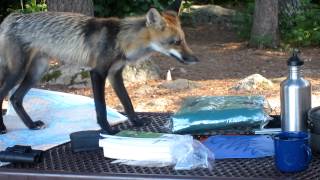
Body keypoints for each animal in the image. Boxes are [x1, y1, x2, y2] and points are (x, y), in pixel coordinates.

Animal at [0, 4, 198, 134]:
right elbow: (101, 107)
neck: (121, 40)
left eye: (185, 40)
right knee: (4, 95)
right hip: (17, 71)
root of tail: (12, 17)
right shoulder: (98, 72)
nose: (196, 59)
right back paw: (4, 128)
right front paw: (107, 129)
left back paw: (31, 125)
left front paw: (136, 122)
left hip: (37, 71)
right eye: (176, 42)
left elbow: (128, 102)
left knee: (15, 98)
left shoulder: (115, 74)